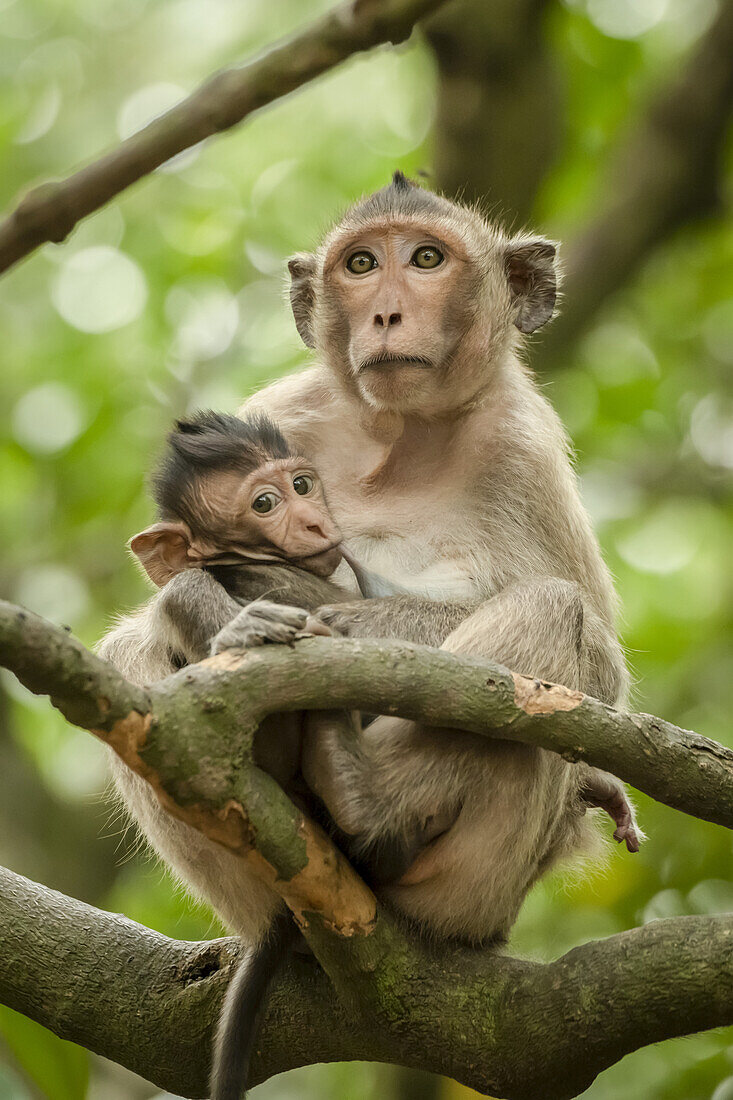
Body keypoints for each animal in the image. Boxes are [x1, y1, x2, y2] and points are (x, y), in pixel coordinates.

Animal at [98, 171, 638, 1091]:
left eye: (424, 260)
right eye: (359, 265)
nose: (385, 311)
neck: (400, 439)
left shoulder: (522, 449)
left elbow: (600, 674)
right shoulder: (285, 407)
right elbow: (156, 597)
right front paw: (215, 599)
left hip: (475, 894)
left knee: (553, 617)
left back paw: (368, 807)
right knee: (133, 659)